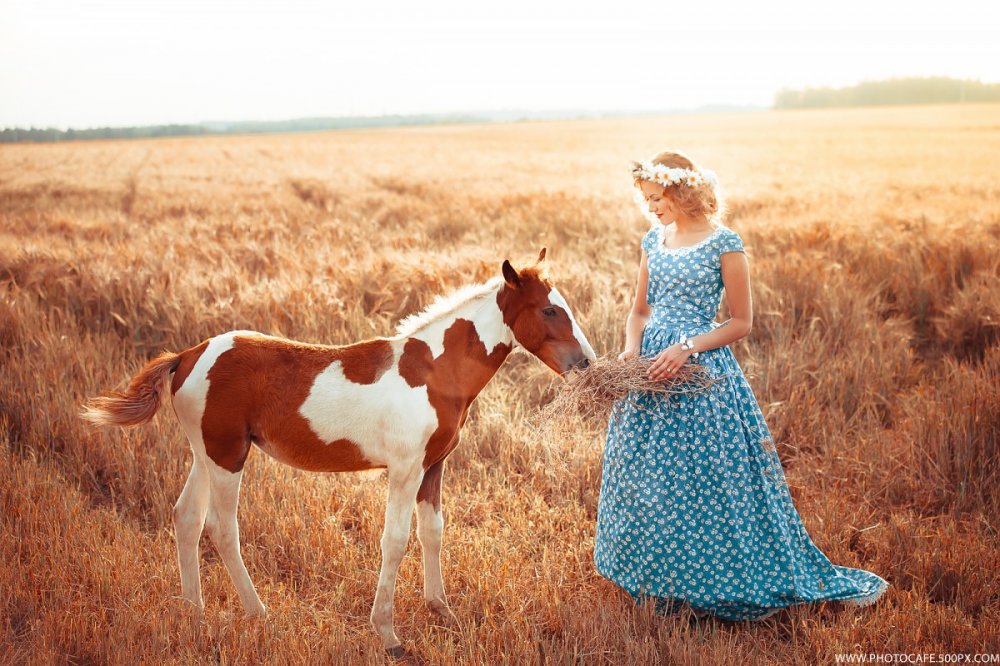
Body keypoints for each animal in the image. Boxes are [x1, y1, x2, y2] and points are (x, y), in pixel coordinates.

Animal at [82, 252, 592, 656]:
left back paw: (194, 613)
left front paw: (442, 610)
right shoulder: (405, 469)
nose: (585, 363)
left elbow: (432, 533)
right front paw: (389, 635)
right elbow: (395, 541)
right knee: (221, 530)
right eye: (549, 309)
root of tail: (188, 356)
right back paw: (259, 614)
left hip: (206, 454)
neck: (434, 371)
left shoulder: (433, 467)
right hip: (227, 458)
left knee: (186, 517)